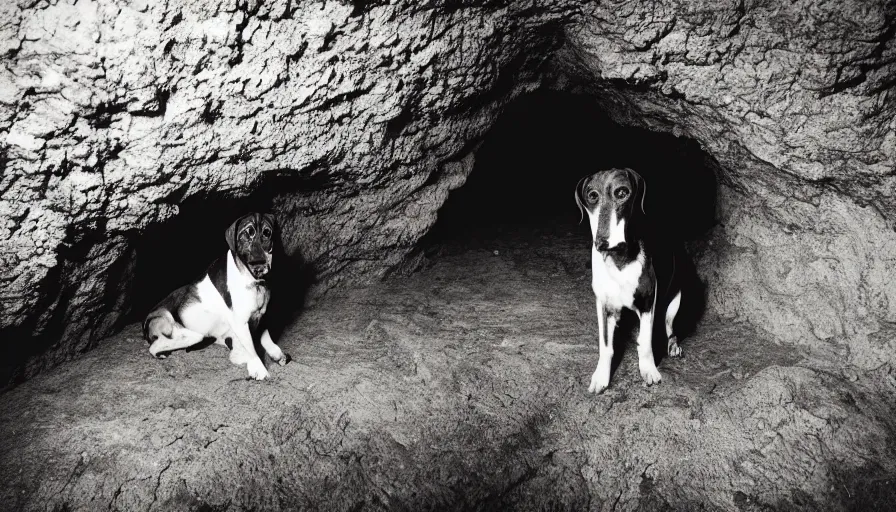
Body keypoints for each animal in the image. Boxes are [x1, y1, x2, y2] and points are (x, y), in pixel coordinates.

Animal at [144, 212, 288, 380]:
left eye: (267, 233)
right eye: (246, 234)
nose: (259, 265)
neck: (256, 284)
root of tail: (145, 323)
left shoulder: (261, 316)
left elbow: (266, 338)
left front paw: (275, 353)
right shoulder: (241, 324)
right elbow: (251, 349)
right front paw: (258, 368)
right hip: (189, 334)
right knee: (155, 347)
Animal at [576, 168, 684, 392]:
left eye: (622, 192)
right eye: (592, 196)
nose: (602, 242)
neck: (619, 260)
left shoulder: (648, 301)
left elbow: (645, 341)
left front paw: (649, 370)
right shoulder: (604, 304)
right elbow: (605, 345)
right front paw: (601, 376)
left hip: (675, 302)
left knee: (669, 328)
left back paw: (673, 346)